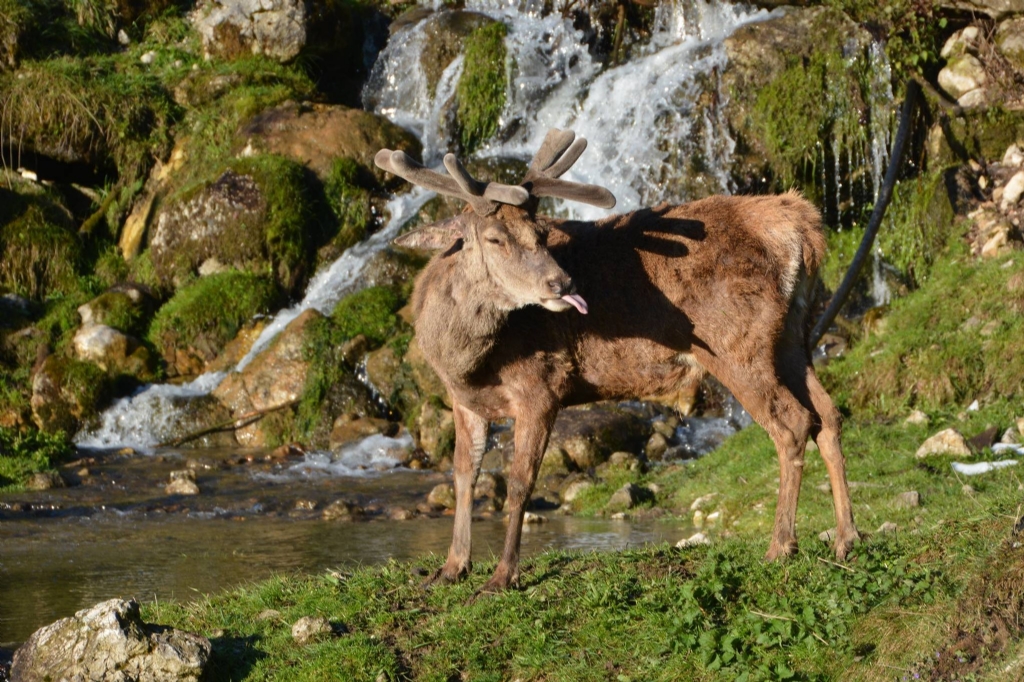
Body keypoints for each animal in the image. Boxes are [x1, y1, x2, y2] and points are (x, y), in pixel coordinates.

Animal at [372, 130, 860, 593]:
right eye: (494, 238)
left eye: (541, 234)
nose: (563, 282)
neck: (463, 360)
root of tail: (802, 228)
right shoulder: (464, 401)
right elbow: (463, 476)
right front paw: (450, 568)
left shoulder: (541, 385)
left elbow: (519, 482)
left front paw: (502, 576)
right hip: (794, 336)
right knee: (828, 415)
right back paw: (846, 538)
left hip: (737, 345)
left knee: (793, 424)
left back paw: (781, 546)